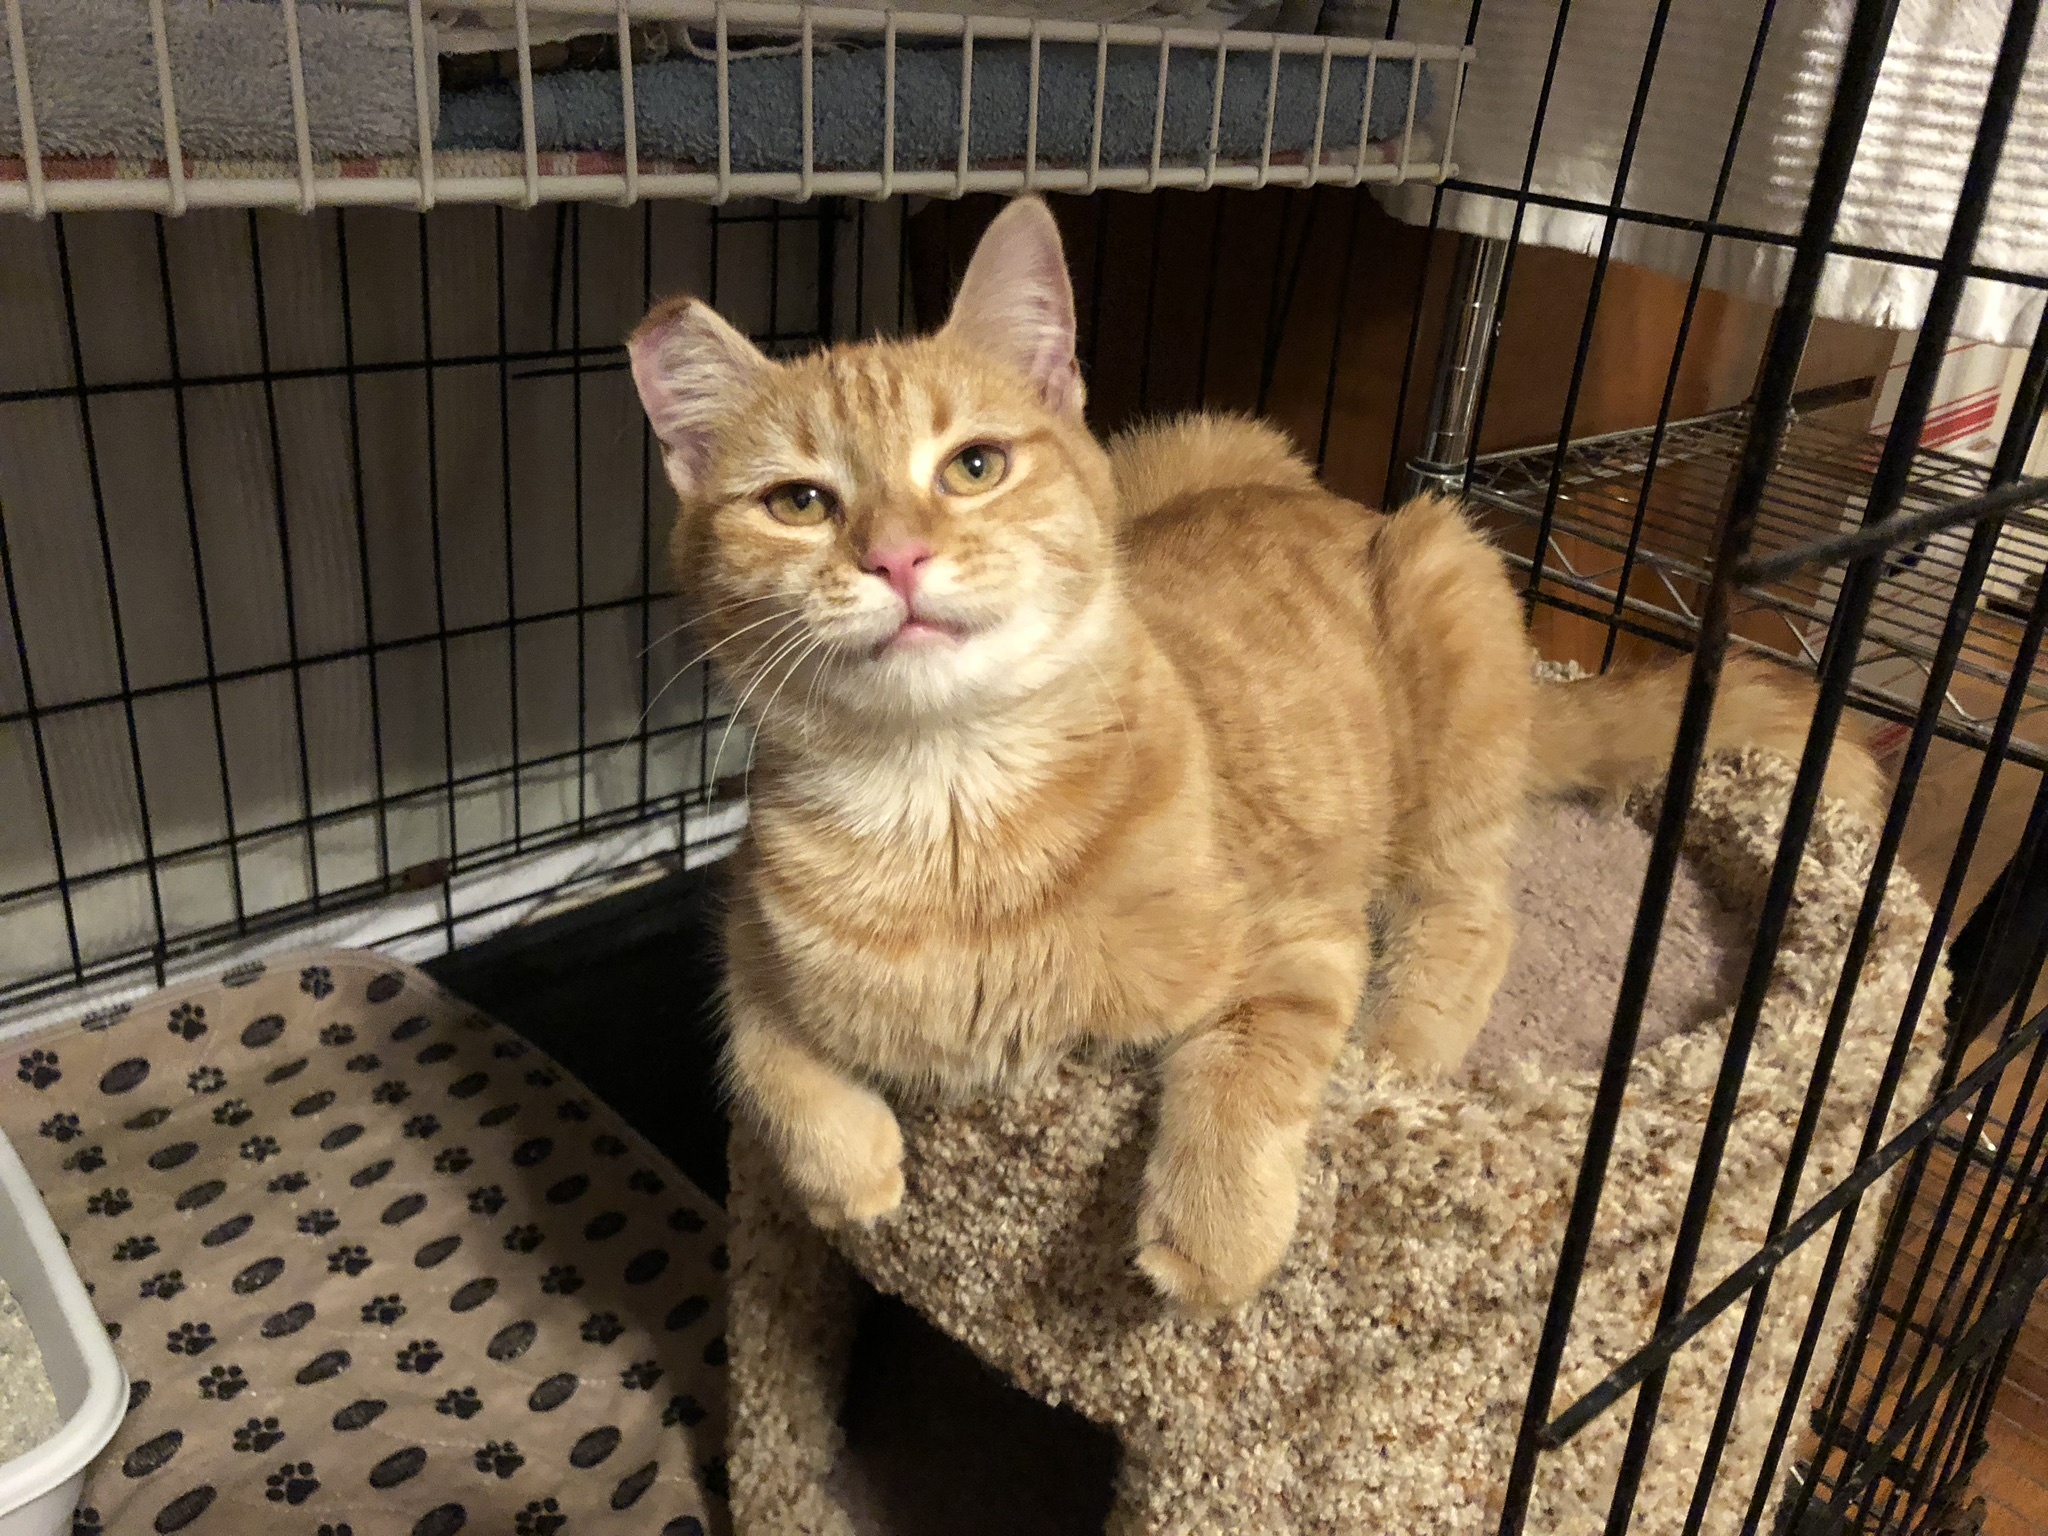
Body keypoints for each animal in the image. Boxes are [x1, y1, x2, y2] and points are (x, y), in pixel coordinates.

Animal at [626, 198, 1884, 1318]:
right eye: (797, 501)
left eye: (972, 467)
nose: (894, 555)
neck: (950, 813)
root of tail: (1346, 504)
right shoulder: (749, 923)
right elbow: (756, 1040)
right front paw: (843, 1168)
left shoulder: (1297, 932)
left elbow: (1248, 1055)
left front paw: (1214, 1227)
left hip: (1445, 602)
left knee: (1470, 912)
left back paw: (1399, 1053)